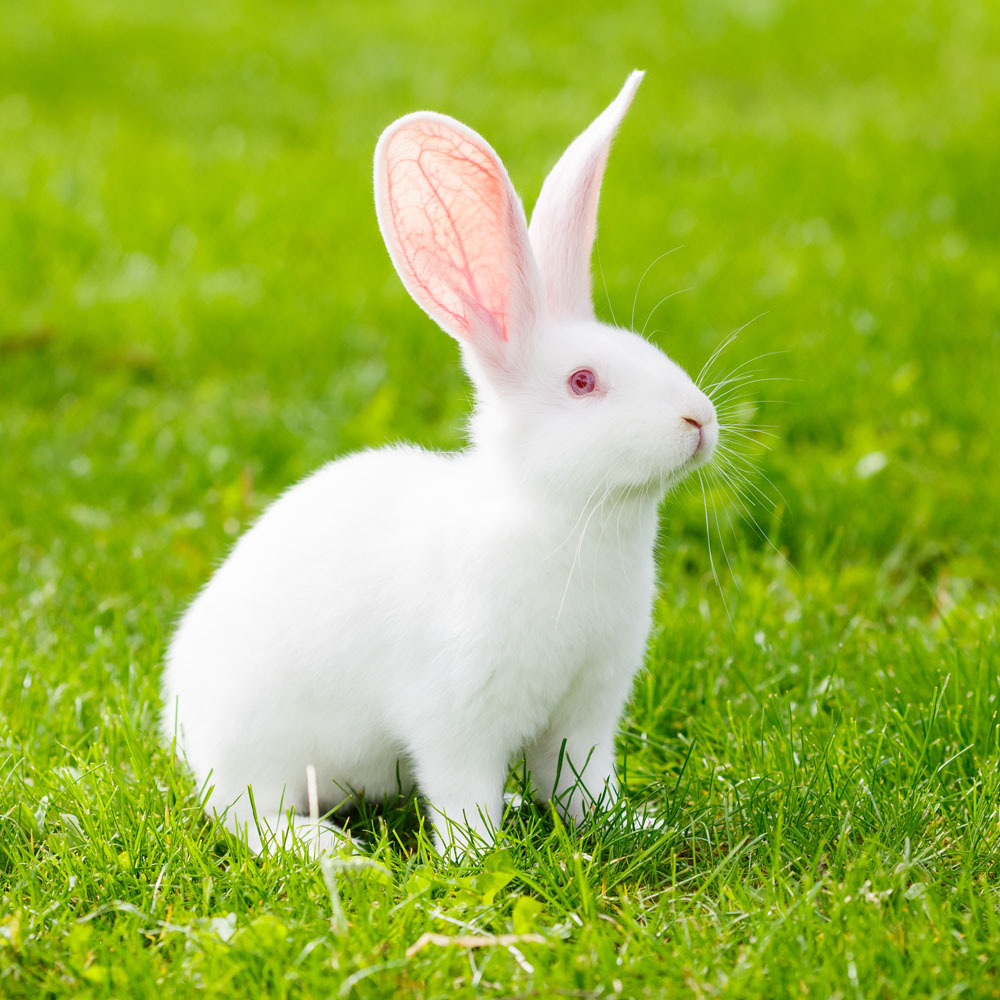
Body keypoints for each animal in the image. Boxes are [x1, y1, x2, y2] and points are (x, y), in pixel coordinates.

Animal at [160, 69, 718, 857]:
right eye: (583, 382)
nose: (700, 420)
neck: (562, 516)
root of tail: (181, 723)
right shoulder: (457, 716)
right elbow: (462, 792)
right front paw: (479, 856)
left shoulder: (585, 713)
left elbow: (578, 787)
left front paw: (630, 824)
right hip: (259, 758)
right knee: (247, 815)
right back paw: (338, 857)